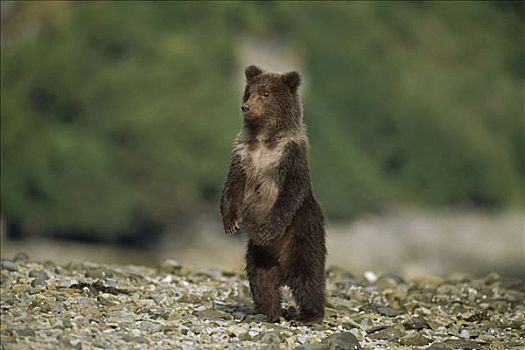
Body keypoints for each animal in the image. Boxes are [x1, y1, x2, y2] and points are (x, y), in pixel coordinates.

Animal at [219, 65, 326, 322]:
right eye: (249, 91)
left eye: (265, 94)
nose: (246, 107)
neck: (264, 139)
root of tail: (284, 272)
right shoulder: (243, 154)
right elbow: (233, 184)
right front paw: (230, 223)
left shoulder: (290, 156)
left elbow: (291, 192)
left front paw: (267, 230)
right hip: (259, 255)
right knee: (261, 281)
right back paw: (269, 312)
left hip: (304, 235)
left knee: (309, 278)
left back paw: (310, 314)